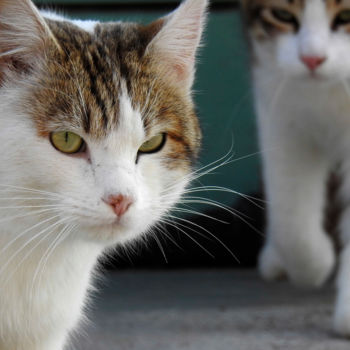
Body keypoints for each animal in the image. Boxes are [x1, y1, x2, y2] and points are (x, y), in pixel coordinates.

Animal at [243, 0, 350, 336]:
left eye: (346, 16)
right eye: (282, 14)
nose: (312, 59)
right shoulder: (280, 107)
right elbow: (290, 217)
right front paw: (315, 264)